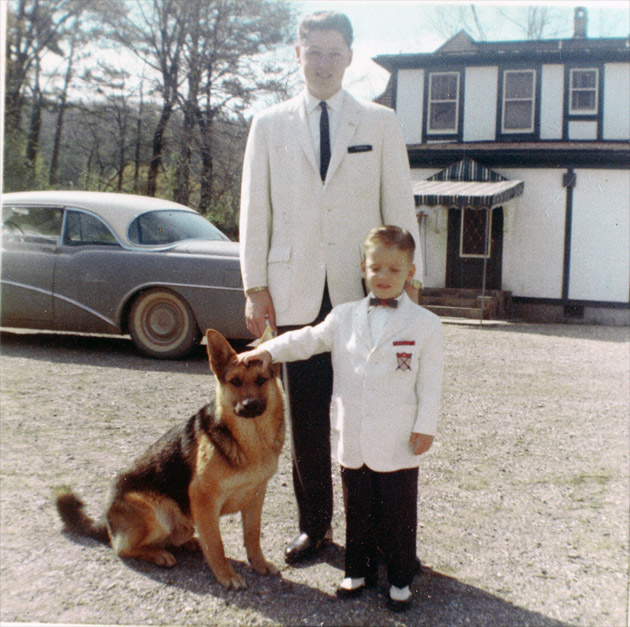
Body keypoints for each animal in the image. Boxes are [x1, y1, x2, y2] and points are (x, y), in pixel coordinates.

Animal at [54, 332, 286, 592]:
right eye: (235, 382)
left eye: (261, 380)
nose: (250, 405)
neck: (251, 439)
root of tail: (106, 521)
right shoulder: (203, 498)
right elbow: (216, 544)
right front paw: (225, 574)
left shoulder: (255, 496)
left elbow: (252, 535)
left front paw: (259, 563)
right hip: (158, 511)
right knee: (121, 547)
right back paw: (158, 554)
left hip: (182, 521)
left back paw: (188, 543)